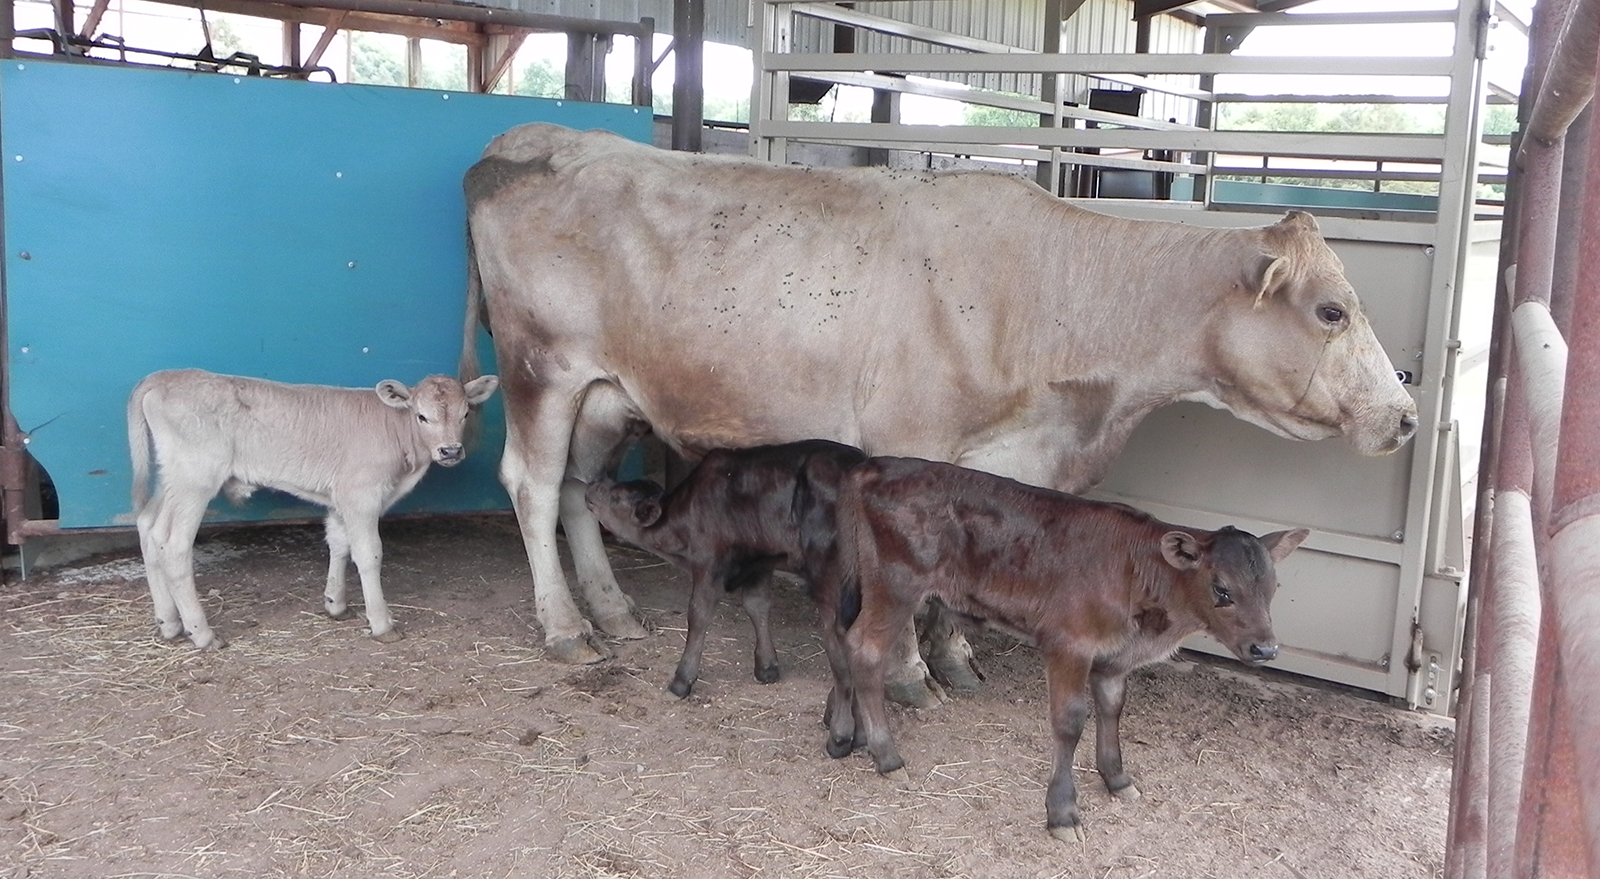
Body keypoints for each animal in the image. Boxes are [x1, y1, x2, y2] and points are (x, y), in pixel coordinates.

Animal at [127, 368, 500, 649]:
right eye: (422, 416)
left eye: (465, 413)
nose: (450, 451)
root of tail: (165, 376)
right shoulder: (361, 494)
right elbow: (369, 553)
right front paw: (382, 623)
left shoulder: (340, 497)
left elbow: (339, 542)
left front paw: (336, 603)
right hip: (196, 478)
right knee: (173, 543)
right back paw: (201, 633)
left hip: (172, 478)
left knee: (149, 527)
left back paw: (169, 622)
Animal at [583, 440, 868, 698]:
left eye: (616, 498)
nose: (591, 486)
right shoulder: (760, 561)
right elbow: (756, 604)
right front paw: (767, 667)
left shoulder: (709, 560)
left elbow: (698, 613)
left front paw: (682, 680)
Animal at [825, 456, 1309, 844]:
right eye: (1222, 589)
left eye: (1274, 587)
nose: (1266, 648)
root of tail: (875, 464)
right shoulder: (1068, 644)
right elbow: (1070, 721)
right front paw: (1063, 813)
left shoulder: (1114, 658)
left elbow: (1113, 707)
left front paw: (1117, 778)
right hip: (897, 585)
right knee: (865, 648)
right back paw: (887, 756)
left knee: (839, 633)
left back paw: (846, 731)